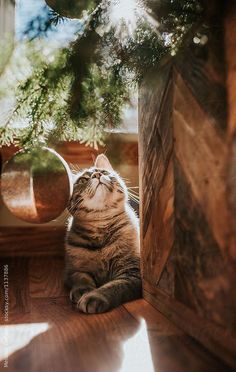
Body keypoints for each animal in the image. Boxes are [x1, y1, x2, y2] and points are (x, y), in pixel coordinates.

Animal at [64, 153, 142, 312]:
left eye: (104, 172)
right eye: (83, 180)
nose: (97, 174)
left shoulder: (133, 271)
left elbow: (114, 286)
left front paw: (95, 296)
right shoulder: (71, 270)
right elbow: (80, 277)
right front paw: (82, 289)